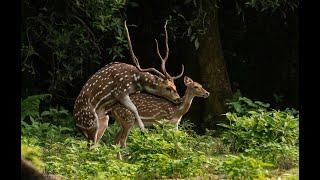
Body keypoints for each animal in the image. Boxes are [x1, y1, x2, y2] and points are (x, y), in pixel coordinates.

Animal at [72, 20, 182, 148]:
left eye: (175, 86)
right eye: (168, 87)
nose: (178, 99)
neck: (135, 81)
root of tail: (77, 124)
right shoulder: (120, 91)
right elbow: (134, 108)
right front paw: (143, 129)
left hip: (104, 118)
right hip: (91, 122)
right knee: (91, 144)